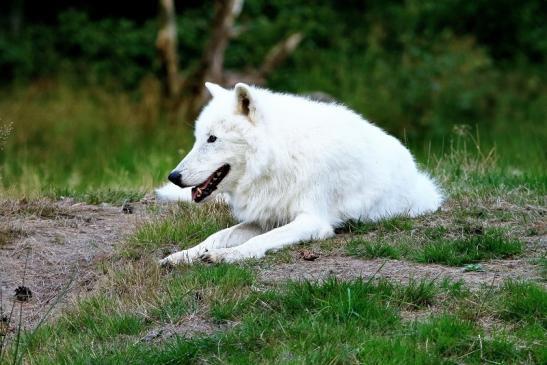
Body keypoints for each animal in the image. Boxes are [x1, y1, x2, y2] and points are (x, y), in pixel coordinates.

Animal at [156, 82, 444, 264]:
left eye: (212, 139)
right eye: (197, 139)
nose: (173, 176)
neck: (280, 157)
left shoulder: (312, 221)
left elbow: (259, 241)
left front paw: (228, 256)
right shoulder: (266, 217)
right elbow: (217, 236)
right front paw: (183, 255)